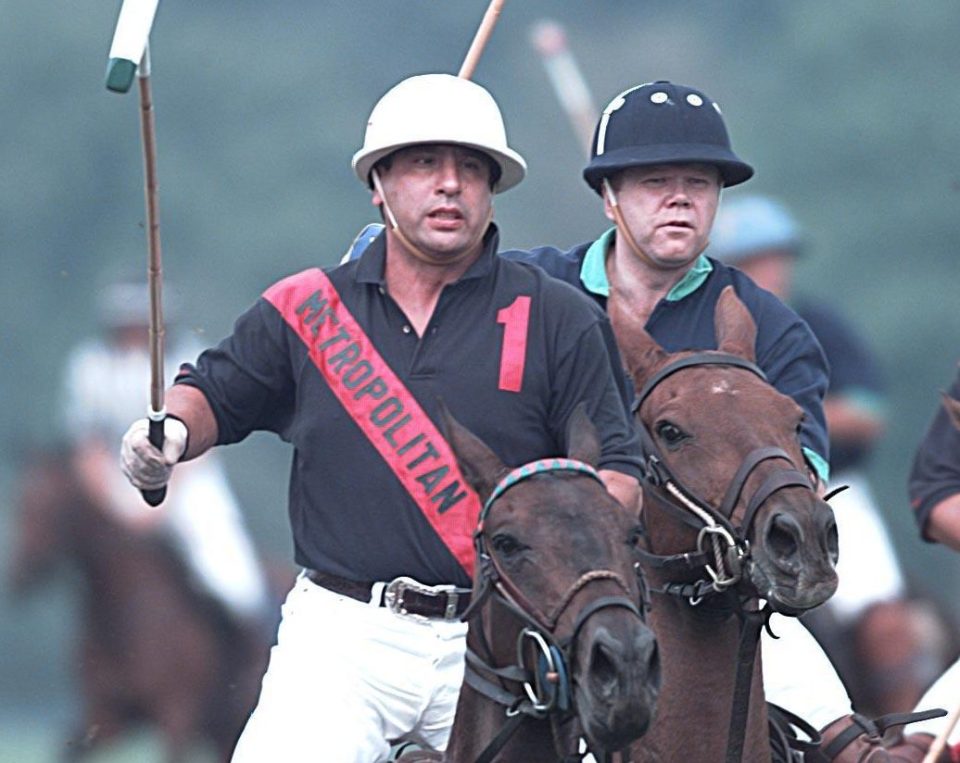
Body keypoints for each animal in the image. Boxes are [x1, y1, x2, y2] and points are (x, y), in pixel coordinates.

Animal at [8, 448, 270, 763]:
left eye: (48, 506)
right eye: (21, 504)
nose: (18, 576)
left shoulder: (176, 714)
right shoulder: (107, 716)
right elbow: (65, 747)